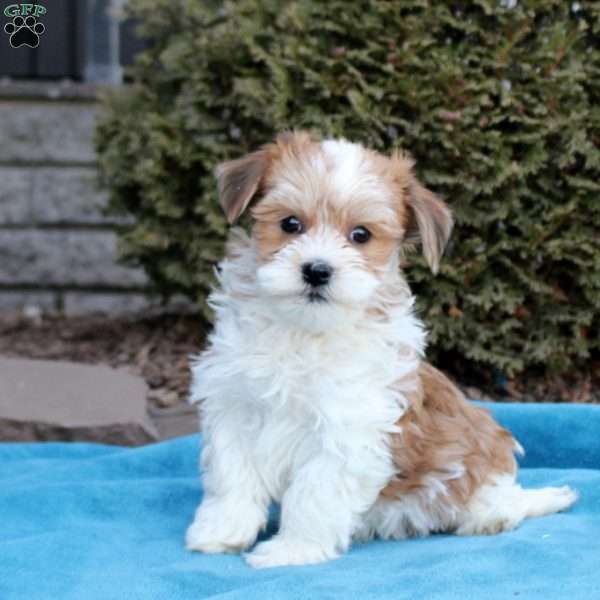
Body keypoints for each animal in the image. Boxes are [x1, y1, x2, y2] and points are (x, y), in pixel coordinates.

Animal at [186, 130, 576, 568]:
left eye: (360, 235)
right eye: (290, 224)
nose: (317, 270)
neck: (304, 331)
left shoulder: (346, 433)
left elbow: (312, 494)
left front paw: (293, 549)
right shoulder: (234, 408)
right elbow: (231, 476)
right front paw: (222, 531)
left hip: (482, 460)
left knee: (500, 497)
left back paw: (490, 516)